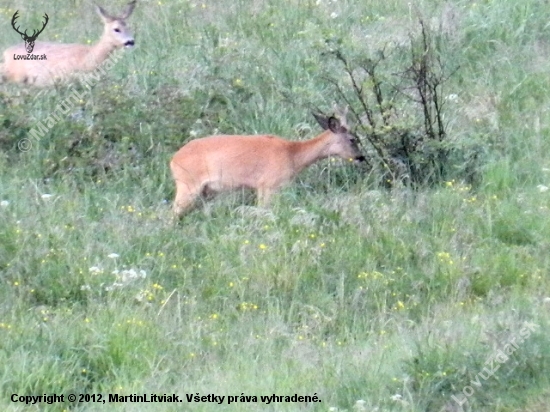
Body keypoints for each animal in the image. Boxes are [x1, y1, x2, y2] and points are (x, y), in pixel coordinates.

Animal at [169, 111, 366, 217]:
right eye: (353, 139)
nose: (361, 157)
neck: (293, 155)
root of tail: (173, 159)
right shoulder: (268, 185)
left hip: (203, 192)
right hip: (188, 185)